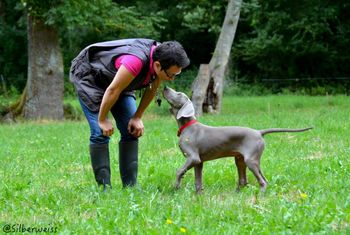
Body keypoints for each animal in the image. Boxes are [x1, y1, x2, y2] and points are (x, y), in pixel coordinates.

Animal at [161, 86, 312, 193]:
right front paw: (198, 196)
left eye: (179, 94)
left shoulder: (192, 158)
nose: (165, 87)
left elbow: (179, 171)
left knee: (262, 181)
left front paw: (176, 187)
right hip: (241, 160)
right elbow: (198, 182)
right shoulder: (199, 162)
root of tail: (258, 132)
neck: (187, 126)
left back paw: (260, 195)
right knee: (246, 180)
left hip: (250, 160)